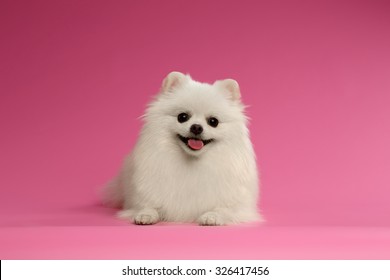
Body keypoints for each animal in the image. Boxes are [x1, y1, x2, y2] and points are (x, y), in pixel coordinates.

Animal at [105, 72, 260, 225]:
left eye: (213, 121)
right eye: (182, 117)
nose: (196, 127)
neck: (192, 161)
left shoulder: (236, 204)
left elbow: (224, 209)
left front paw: (212, 216)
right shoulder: (147, 192)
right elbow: (149, 205)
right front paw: (145, 214)